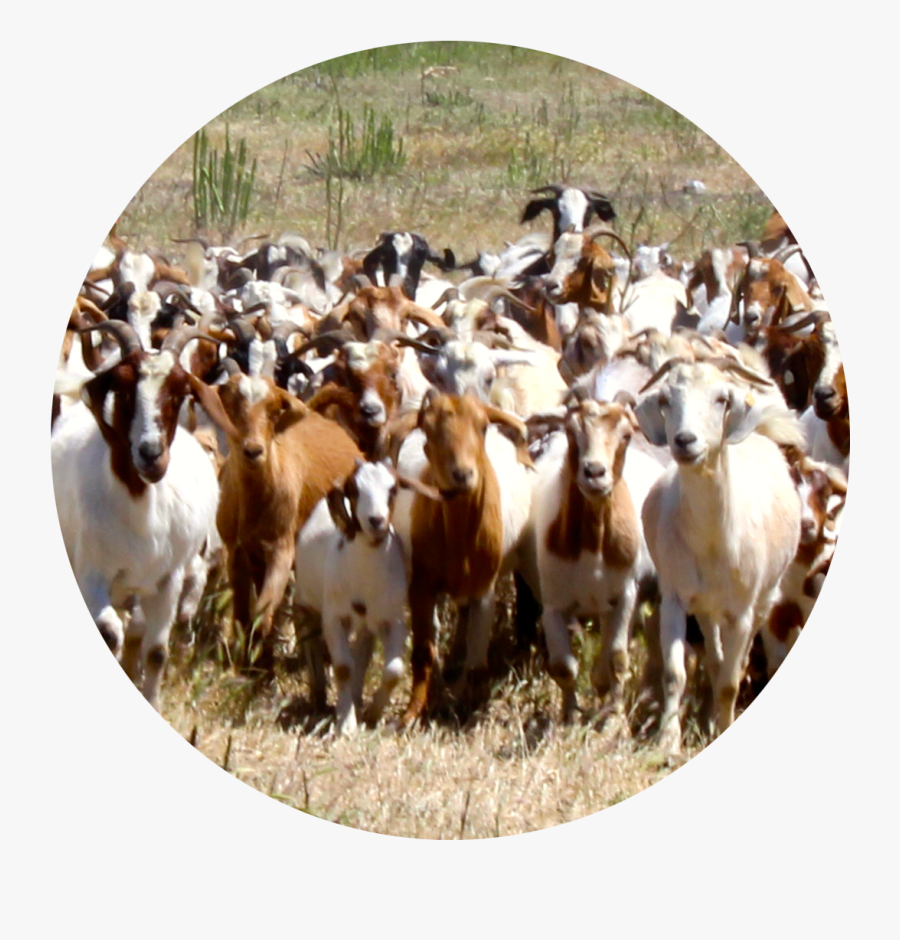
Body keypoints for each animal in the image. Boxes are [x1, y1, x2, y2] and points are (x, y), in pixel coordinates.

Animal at [635, 358, 803, 752]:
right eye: (665, 399)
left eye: (721, 398)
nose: (684, 440)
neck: (710, 542)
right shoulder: (675, 597)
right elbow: (674, 674)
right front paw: (667, 743)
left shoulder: (741, 611)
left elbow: (730, 681)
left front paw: (724, 729)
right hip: (706, 607)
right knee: (714, 659)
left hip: (763, 600)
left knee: (734, 665)